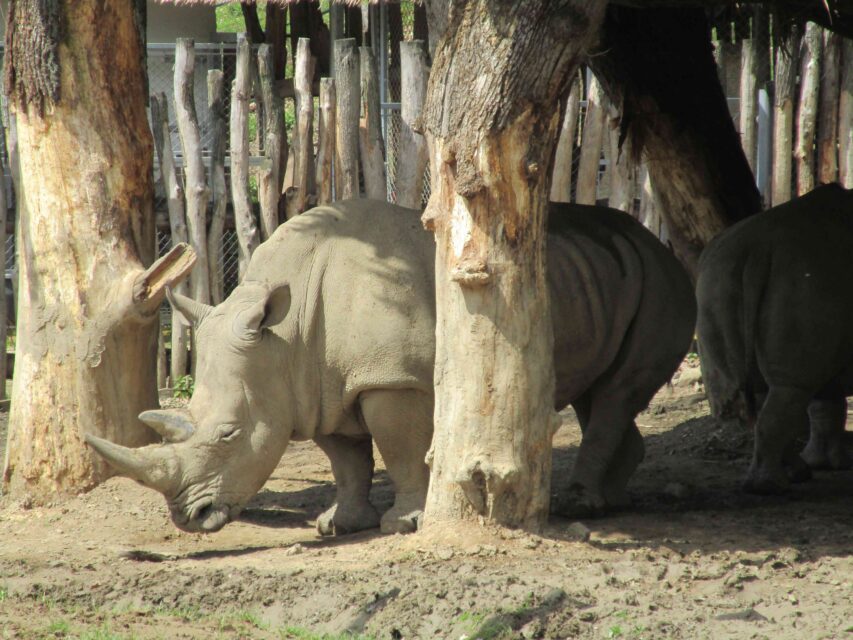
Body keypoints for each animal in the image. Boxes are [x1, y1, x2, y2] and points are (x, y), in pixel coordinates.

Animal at [87, 198, 695, 534]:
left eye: (230, 434)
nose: (189, 518)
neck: (285, 335)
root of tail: (661, 243)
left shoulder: (391, 379)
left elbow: (398, 448)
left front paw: (405, 523)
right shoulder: (316, 385)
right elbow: (345, 458)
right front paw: (338, 525)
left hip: (663, 280)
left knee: (614, 395)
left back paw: (583, 504)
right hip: (602, 274)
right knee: (602, 394)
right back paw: (612, 501)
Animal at [697, 184, 853, 494]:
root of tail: (757, 250)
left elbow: (826, 402)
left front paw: (833, 464)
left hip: (715, 279)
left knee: (774, 391)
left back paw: (794, 475)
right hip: (807, 281)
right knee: (790, 389)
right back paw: (771, 487)